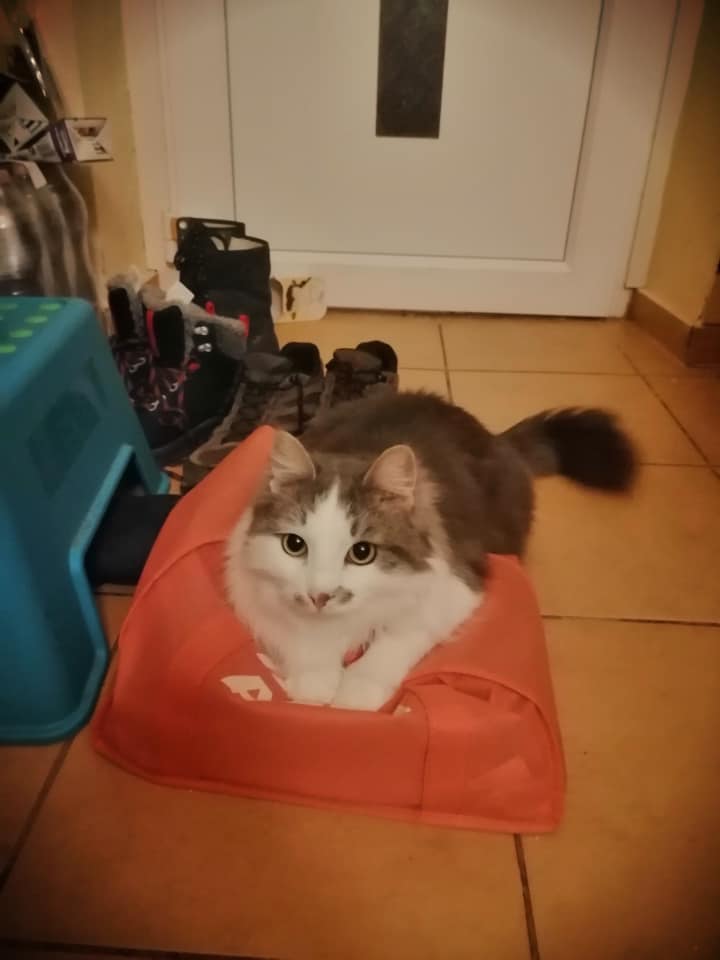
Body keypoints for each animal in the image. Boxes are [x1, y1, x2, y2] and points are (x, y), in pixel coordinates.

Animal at [225, 391, 635, 711]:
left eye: (362, 552)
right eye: (294, 545)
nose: (320, 596)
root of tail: (493, 436)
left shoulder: (453, 587)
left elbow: (394, 641)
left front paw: (355, 694)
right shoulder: (257, 594)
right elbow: (302, 643)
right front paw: (315, 686)